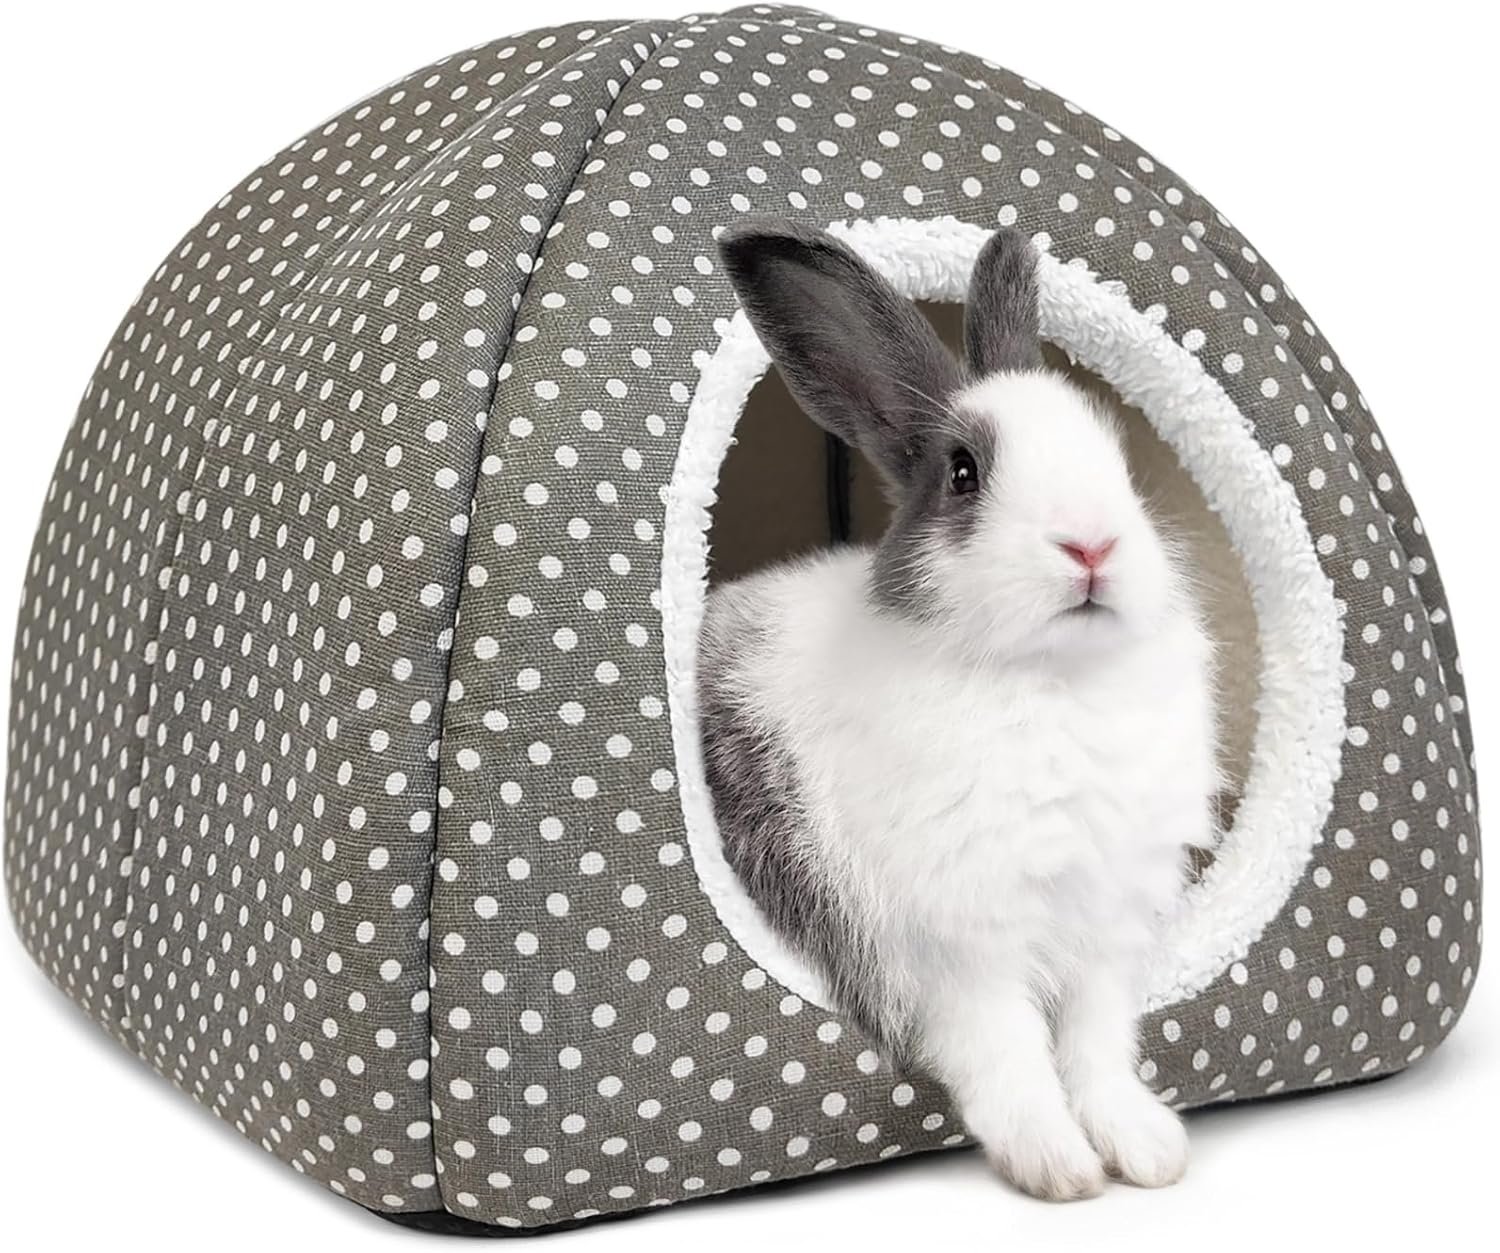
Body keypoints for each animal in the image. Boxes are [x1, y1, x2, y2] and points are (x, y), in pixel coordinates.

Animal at [698, 219, 1221, 1202]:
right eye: (964, 473)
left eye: (1118, 457)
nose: (1092, 544)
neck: (1051, 680)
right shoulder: (959, 947)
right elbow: (1007, 1052)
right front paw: (1058, 1168)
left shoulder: (1105, 937)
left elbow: (1098, 1047)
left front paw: (1147, 1150)